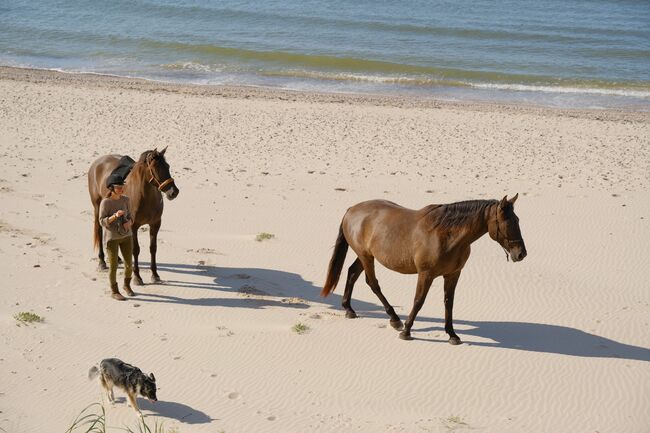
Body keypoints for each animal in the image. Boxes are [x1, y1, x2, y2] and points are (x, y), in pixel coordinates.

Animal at [87, 147, 180, 286]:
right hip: (98, 207)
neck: (145, 196)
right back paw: (102, 262)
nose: (173, 192)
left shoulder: (155, 224)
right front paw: (137, 277)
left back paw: (117, 258)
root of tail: (96, 163)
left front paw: (155, 275)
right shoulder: (133, 226)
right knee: (99, 229)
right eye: (155, 167)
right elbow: (135, 250)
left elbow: (153, 248)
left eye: (167, 166)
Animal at [322, 194, 524, 342]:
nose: (521, 254)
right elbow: (418, 301)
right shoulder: (426, 274)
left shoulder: (453, 275)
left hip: (366, 256)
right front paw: (406, 331)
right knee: (372, 283)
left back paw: (349, 309)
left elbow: (449, 303)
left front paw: (452, 334)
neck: (446, 235)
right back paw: (395, 319)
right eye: (508, 223)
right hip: (366, 257)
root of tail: (351, 210)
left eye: (517, 220)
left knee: (352, 273)